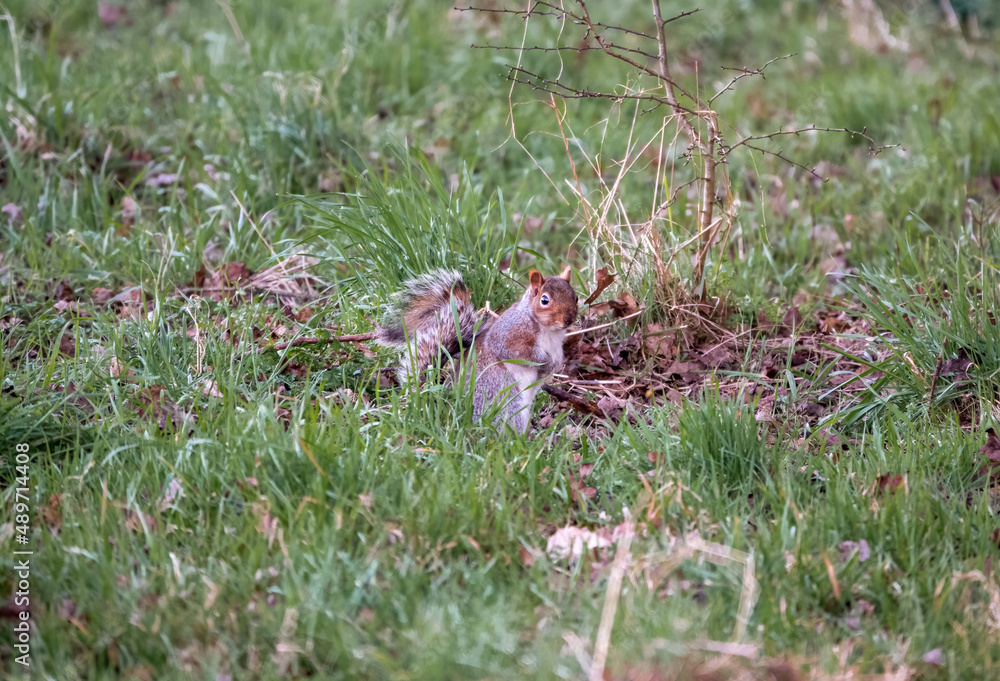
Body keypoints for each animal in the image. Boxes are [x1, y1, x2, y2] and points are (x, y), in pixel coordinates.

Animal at [375, 267, 579, 434]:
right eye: (545, 300)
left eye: (575, 297)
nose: (569, 319)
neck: (550, 332)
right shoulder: (509, 336)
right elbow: (518, 352)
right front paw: (544, 360)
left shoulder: (557, 348)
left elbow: (557, 359)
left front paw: (552, 365)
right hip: (506, 401)